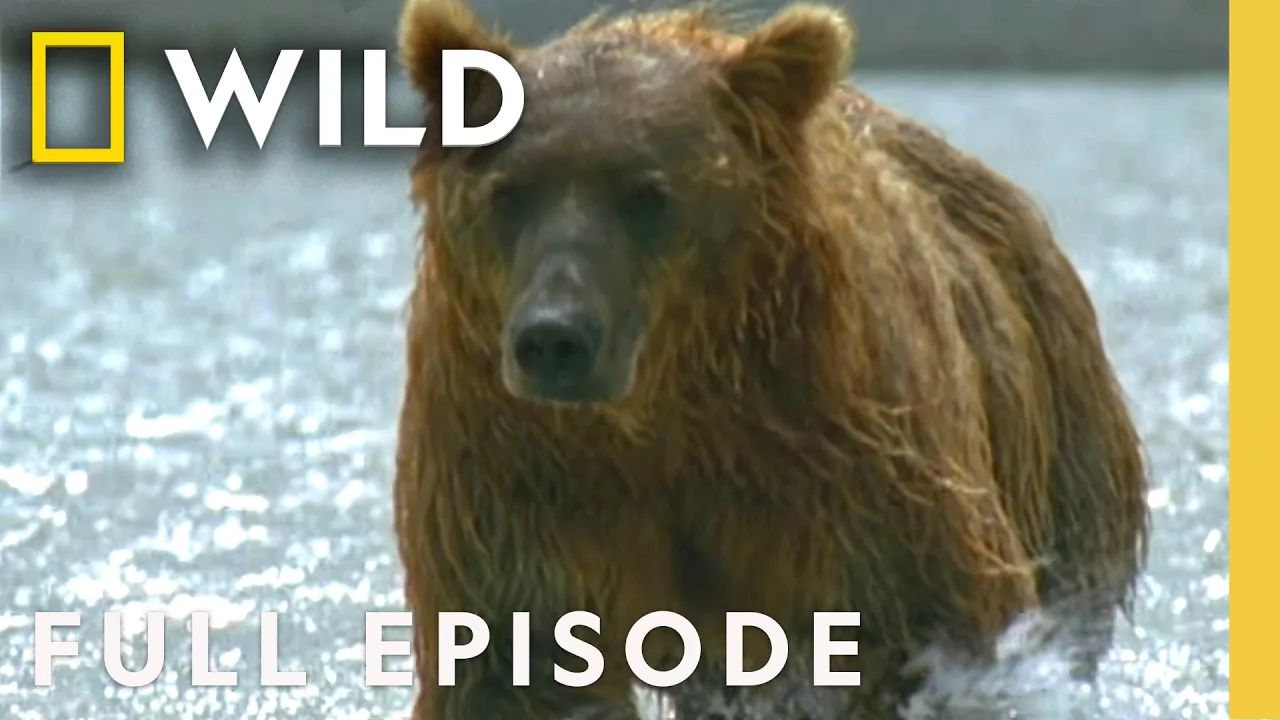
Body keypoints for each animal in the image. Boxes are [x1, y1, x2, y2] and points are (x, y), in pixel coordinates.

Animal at [391, 0, 1150, 718]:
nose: (556, 337)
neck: (665, 409)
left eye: (647, 192)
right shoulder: (514, 470)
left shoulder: (846, 454)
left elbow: (924, 630)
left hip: (1060, 437)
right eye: (508, 192)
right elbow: (520, 666)